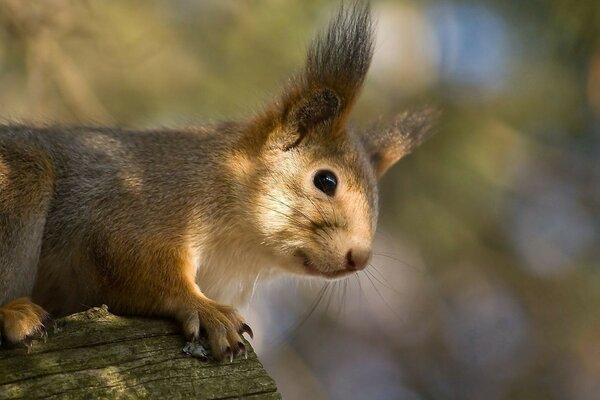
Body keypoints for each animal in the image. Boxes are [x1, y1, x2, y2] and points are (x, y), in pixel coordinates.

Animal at [0, 3, 436, 360]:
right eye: (326, 180)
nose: (359, 258)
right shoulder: (141, 205)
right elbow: (135, 263)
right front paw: (206, 310)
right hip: (19, 180)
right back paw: (15, 314)